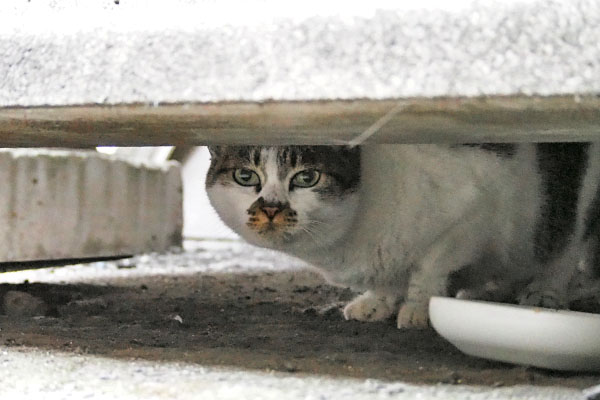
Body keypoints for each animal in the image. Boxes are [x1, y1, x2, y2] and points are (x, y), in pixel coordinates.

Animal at [205, 144, 600, 328]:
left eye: (306, 178)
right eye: (246, 177)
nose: (271, 208)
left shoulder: (477, 208)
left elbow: (430, 266)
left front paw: (419, 308)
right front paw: (376, 301)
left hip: (574, 191)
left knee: (566, 244)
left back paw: (544, 292)